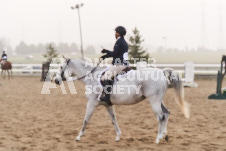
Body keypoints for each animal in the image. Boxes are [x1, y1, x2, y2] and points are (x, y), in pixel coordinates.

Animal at [53, 58, 189, 144]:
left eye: (61, 67)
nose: (56, 80)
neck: (91, 78)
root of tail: (161, 71)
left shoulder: (91, 104)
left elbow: (85, 120)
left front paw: (78, 137)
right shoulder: (108, 105)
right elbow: (114, 120)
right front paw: (118, 136)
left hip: (154, 101)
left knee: (161, 117)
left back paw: (158, 139)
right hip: (158, 101)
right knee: (166, 113)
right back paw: (165, 136)